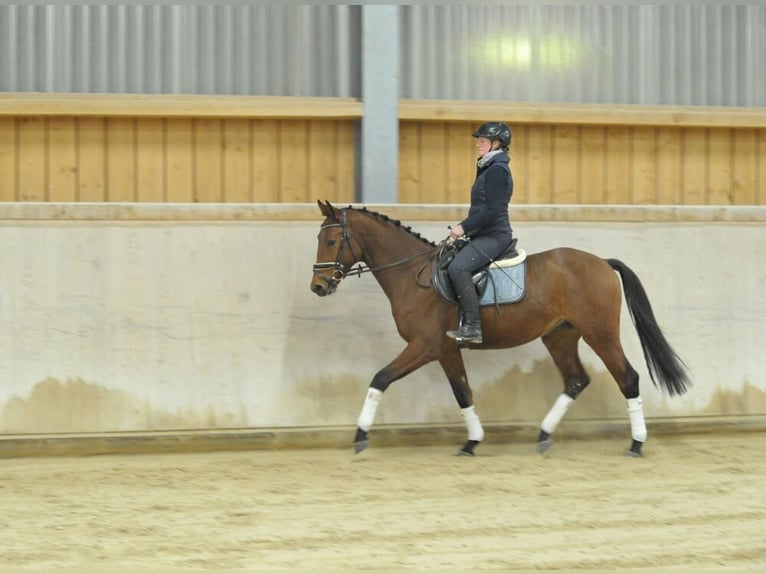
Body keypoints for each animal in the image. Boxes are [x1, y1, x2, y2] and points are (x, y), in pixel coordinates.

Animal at [310, 200, 690, 457]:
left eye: (330, 242)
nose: (318, 286)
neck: (413, 276)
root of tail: (602, 263)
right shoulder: (445, 349)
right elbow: (463, 392)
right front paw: (471, 442)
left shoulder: (425, 345)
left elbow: (380, 379)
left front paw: (360, 436)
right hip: (560, 335)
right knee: (576, 379)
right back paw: (543, 435)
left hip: (601, 333)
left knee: (628, 378)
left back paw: (636, 443)